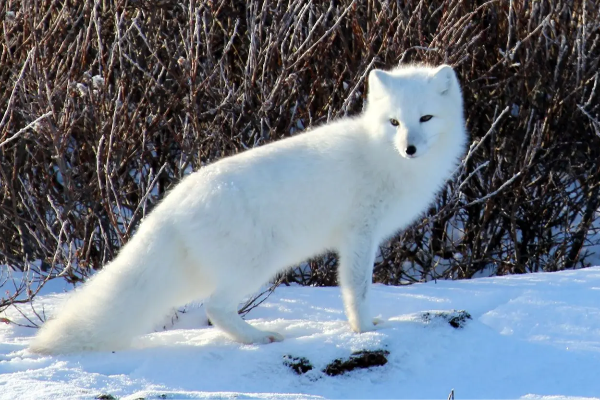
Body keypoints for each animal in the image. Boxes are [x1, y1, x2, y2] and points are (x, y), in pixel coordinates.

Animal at [30, 62, 466, 354]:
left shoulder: (356, 238)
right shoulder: (360, 235)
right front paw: (364, 331)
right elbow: (356, 289)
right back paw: (260, 337)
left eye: (426, 117)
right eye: (394, 122)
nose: (409, 148)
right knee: (216, 309)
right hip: (257, 265)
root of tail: (172, 203)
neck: (381, 156)